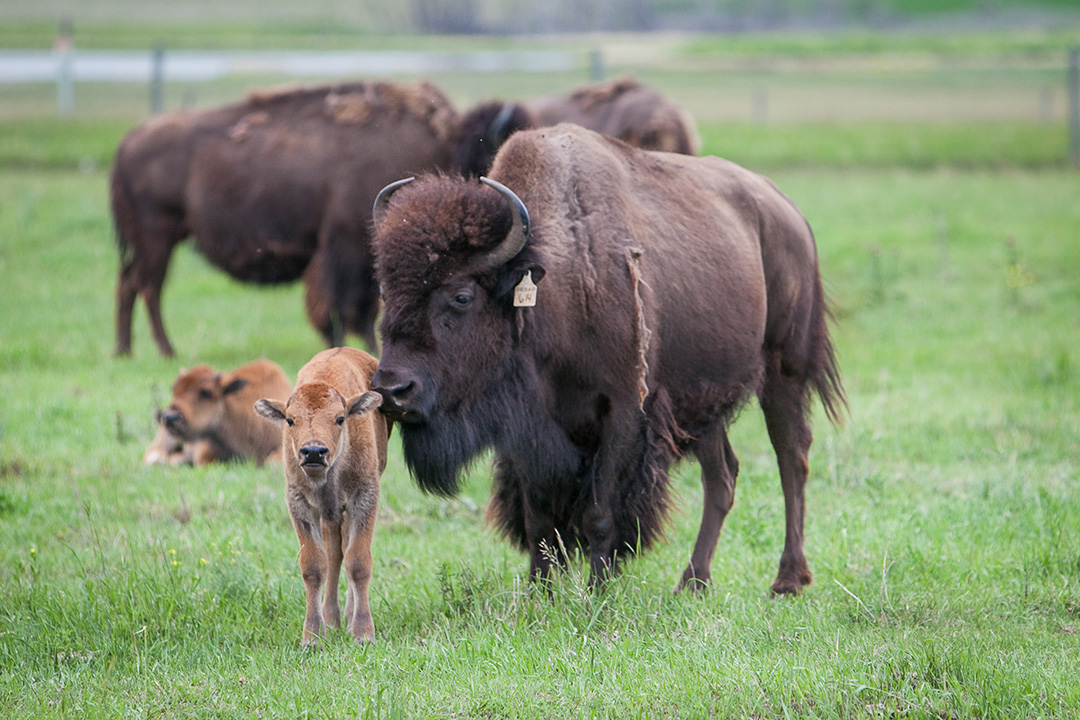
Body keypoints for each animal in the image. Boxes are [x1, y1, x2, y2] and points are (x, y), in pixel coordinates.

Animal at [111, 80, 457, 356]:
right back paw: (166, 350)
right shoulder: (344, 248)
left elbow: (362, 307)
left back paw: (126, 351)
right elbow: (344, 305)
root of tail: (126, 143)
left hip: (151, 241)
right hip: (156, 237)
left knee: (130, 282)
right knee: (149, 286)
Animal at [252, 349, 388, 647]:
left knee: (345, 549)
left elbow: (358, 562)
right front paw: (313, 636)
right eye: (290, 420)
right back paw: (332, 618)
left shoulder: (365, 497)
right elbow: (314, 565)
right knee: (334, 553)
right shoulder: (300, 503)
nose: (313, 452)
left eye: (340, 418)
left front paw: (363, 633)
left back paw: (346, 616)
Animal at [371, 125, 842, 595]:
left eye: (462, 296)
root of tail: (788, 211)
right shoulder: (528, 432)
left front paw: (597, 592)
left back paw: (787, 580)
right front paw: (539, 593)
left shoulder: (623, 414)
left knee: (791, 458)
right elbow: (539, 518)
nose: (392, 390)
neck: (554, 288)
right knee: (722, 475)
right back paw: (693, 581)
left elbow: (599, 513)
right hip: (702, 403)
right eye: (386, 292)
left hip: (785, 369)